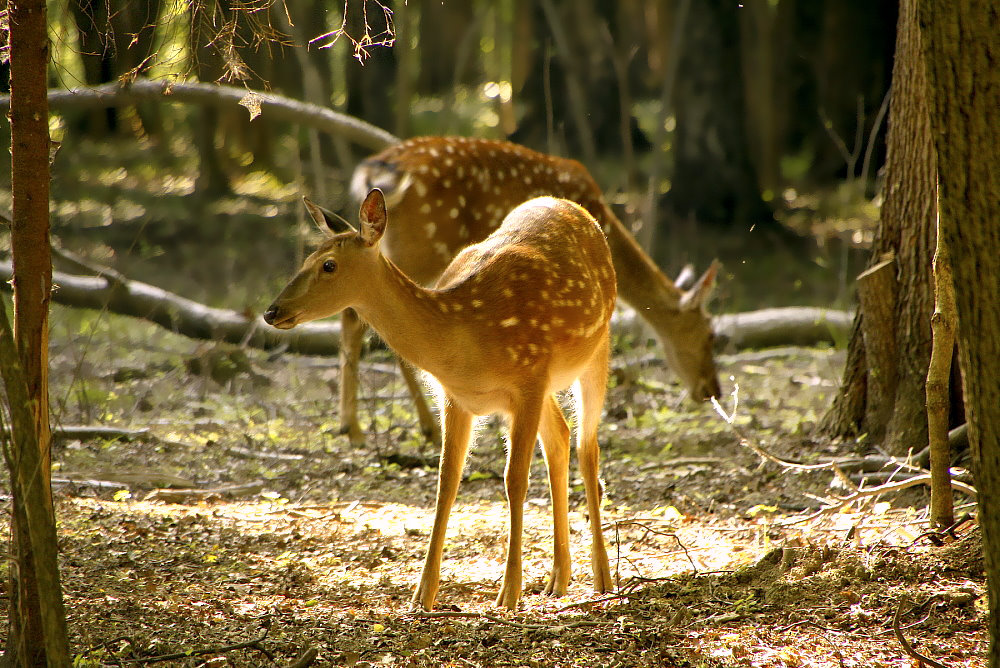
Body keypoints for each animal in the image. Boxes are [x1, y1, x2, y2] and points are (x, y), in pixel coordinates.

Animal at [264, 188, 616, 612]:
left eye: (328, 265)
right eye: (305, 260)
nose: (272, 311)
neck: (468, 335)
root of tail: (572, 207)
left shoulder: (529, 378)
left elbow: (514, 479)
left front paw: (508, 594)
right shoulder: (457, 397)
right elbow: (446, 481)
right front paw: (422, 594)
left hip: (596, 347)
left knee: (586, 447)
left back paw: (602, 577)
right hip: (545, 386)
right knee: (560, 439)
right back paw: (558, 579)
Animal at [340, 137, 724, 444]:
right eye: (710, 334)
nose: (712, 390)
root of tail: (375, 173)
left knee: (355, 315)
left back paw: (359, 427)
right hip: (424, 242)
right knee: (366, 319)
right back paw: (405, 428)